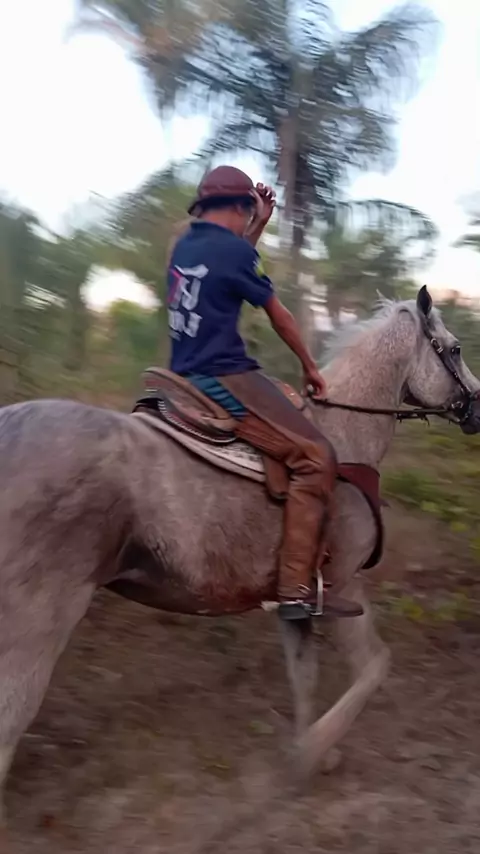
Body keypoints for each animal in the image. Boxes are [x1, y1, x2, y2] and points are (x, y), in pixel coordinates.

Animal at [0, 286, 479, 835]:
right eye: (455, 349)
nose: (477, 407)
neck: (347, 437)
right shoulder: (342, 585)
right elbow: (374, 667)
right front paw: (310, 753)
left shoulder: (297, 601)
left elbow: (304, 675)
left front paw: (313, 747)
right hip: (39, 621)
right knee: (11, 718)